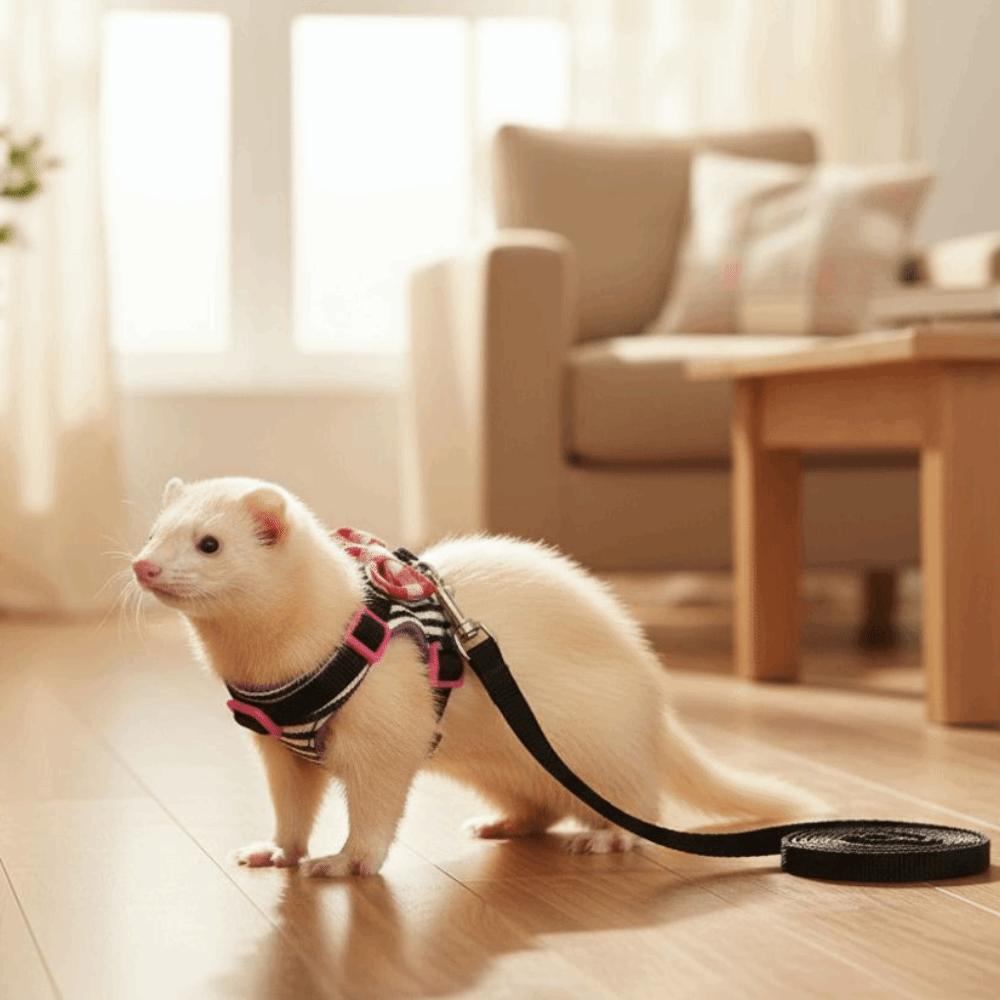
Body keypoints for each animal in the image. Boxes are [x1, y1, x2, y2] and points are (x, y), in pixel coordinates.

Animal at [131, 475, 821, 877]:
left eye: (210, 542)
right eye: (153, 531)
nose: (143, 566)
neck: (281, 671)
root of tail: (654, 695)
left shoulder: (387, 730)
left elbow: (377, 805)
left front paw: (345, 862)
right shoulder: (278, 747)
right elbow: (292, 807)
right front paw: (275, 851)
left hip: (604, 752)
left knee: (638, 804)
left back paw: (605, 840)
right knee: (540, 809)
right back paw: (499, 824)